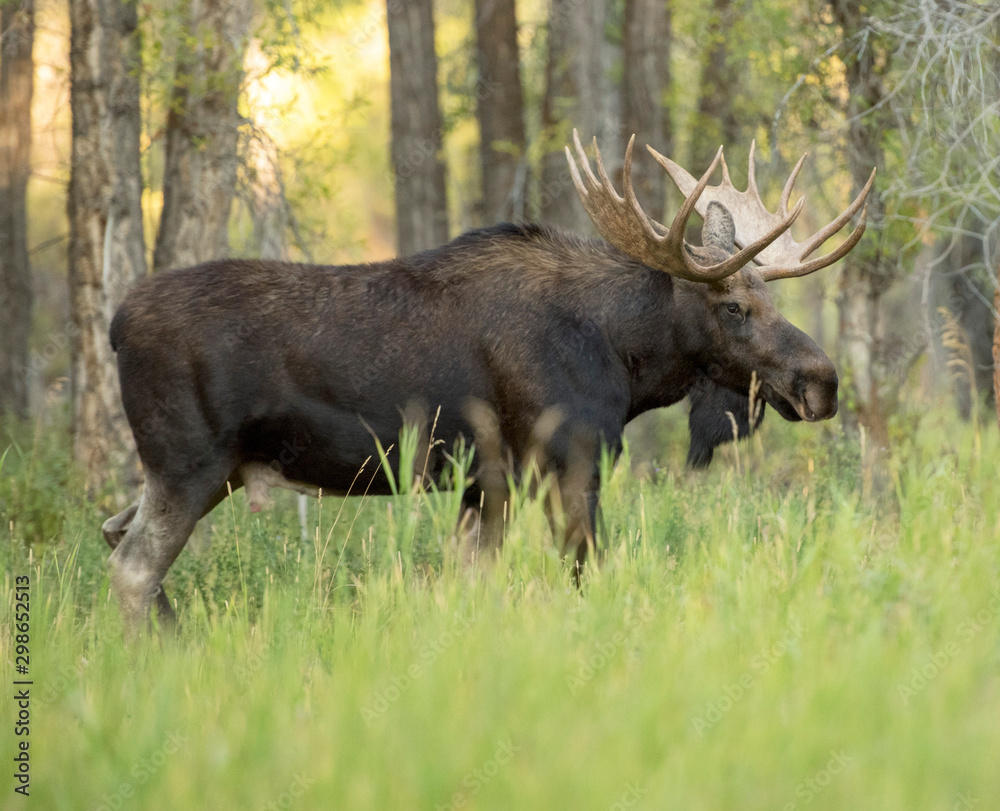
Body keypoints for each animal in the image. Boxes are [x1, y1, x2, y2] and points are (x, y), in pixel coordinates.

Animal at [102, 131, 874, 628]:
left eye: (770, 297)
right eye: (733, 307)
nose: (822, 381)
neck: (624, 355)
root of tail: (114, 324)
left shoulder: (485, 480)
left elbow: (471, 583)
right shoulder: (569, 457)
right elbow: (585, 572)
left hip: (198, 471)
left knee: (114, 532)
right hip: (190, 463)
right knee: (133, 567)